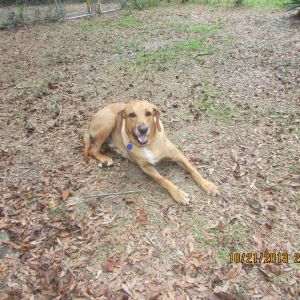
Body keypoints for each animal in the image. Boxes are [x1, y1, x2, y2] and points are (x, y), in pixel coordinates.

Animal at [83, 101, 219, 204]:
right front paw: (178, 194)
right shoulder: (146, 167)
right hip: (109, 121)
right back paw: (105, 159)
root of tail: (92, 119)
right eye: (131, 115)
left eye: (148, 113)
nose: (143, 129)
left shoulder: (178, 155)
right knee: (93, 149)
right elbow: (162, 179)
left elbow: (193, 170)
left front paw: (207, 185)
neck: (148, 144)